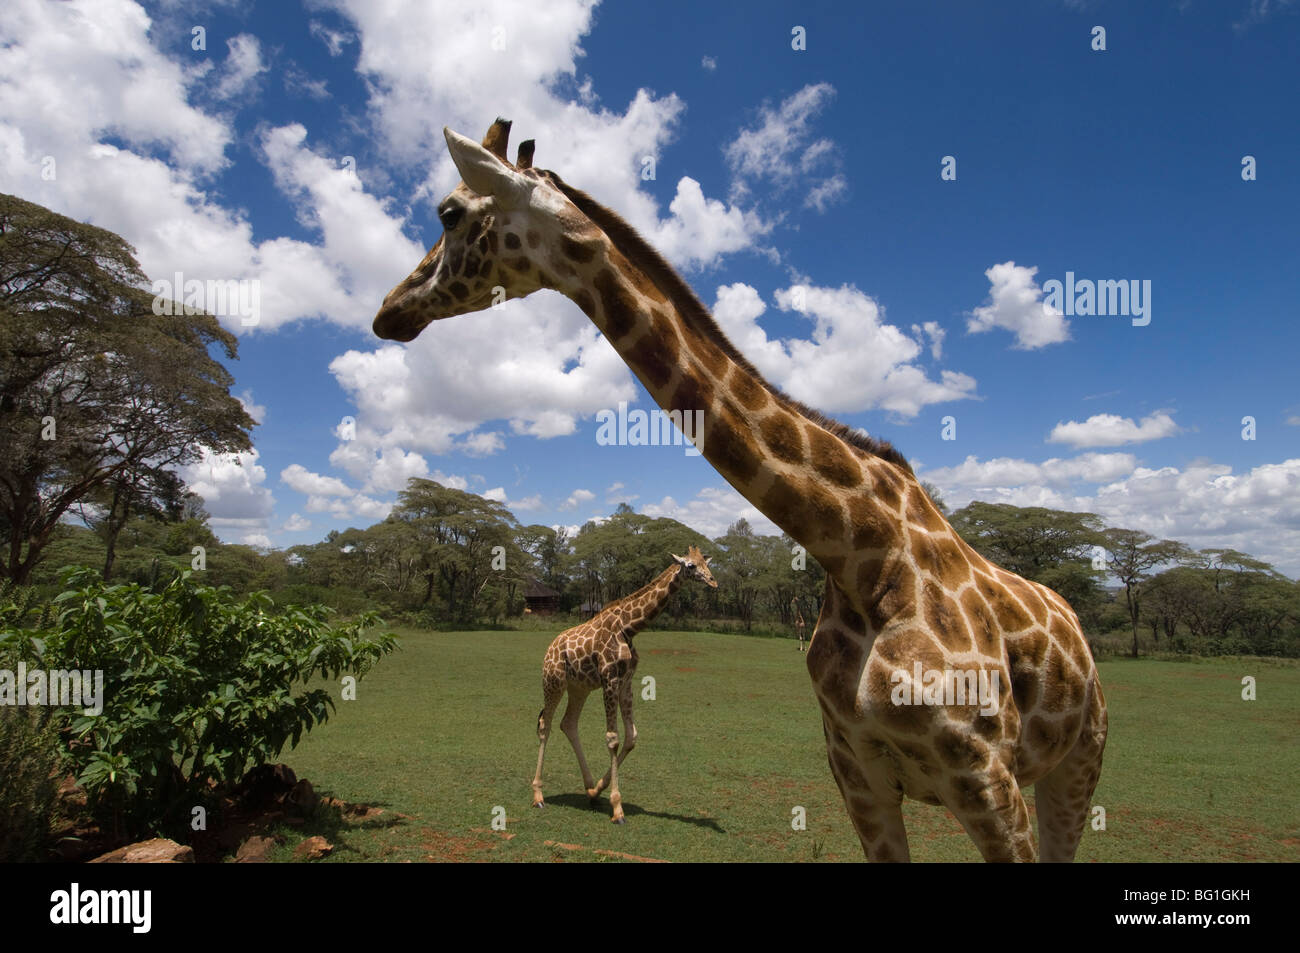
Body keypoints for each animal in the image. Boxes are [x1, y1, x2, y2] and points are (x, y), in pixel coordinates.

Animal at [531, 546, 717, 823]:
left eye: (706, 562)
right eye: (691, 566)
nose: (713, 581)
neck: (629, 627)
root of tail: (550, 648)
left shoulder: (626, 681)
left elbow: (631, 737)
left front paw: (599, 789)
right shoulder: (609, 677)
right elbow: (613, 738)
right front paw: (617, 808)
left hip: (579, 688)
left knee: (568, 723)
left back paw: (589, 788)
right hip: (553, 681)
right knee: (546, 724)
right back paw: (538, 795)